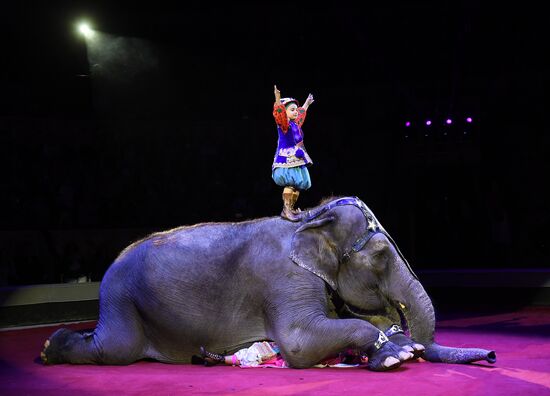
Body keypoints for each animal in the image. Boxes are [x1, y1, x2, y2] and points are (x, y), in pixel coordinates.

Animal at [41, 196, 498, 372]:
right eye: (383, 255)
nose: (494, 355)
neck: (311, 218)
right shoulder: (285, 278)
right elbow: (297, 344)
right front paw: (397, 355)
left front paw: (399, 348)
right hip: (122, 300)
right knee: (112, 349)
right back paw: (49, 348)